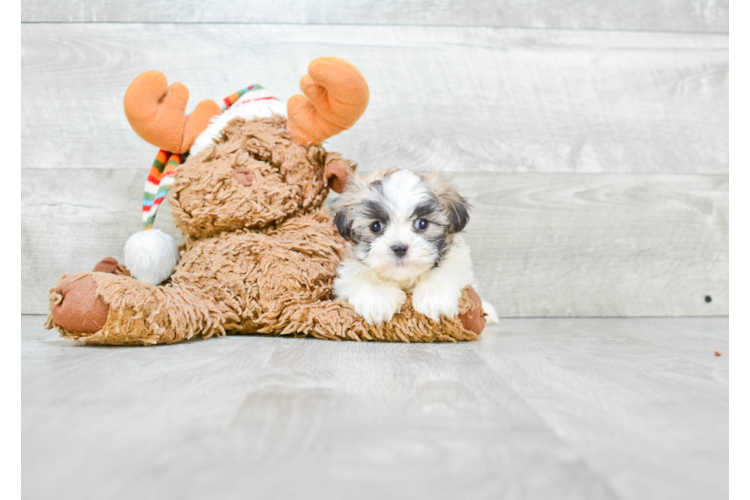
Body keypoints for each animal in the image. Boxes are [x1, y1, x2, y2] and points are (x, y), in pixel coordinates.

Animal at [334, 168, 500, 324]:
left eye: (422, 223)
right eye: (376, 226)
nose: (399, 248)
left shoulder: (457, 260)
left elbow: (445, 270)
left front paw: (435, 298)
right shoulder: (348, 272)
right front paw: (378, 299)